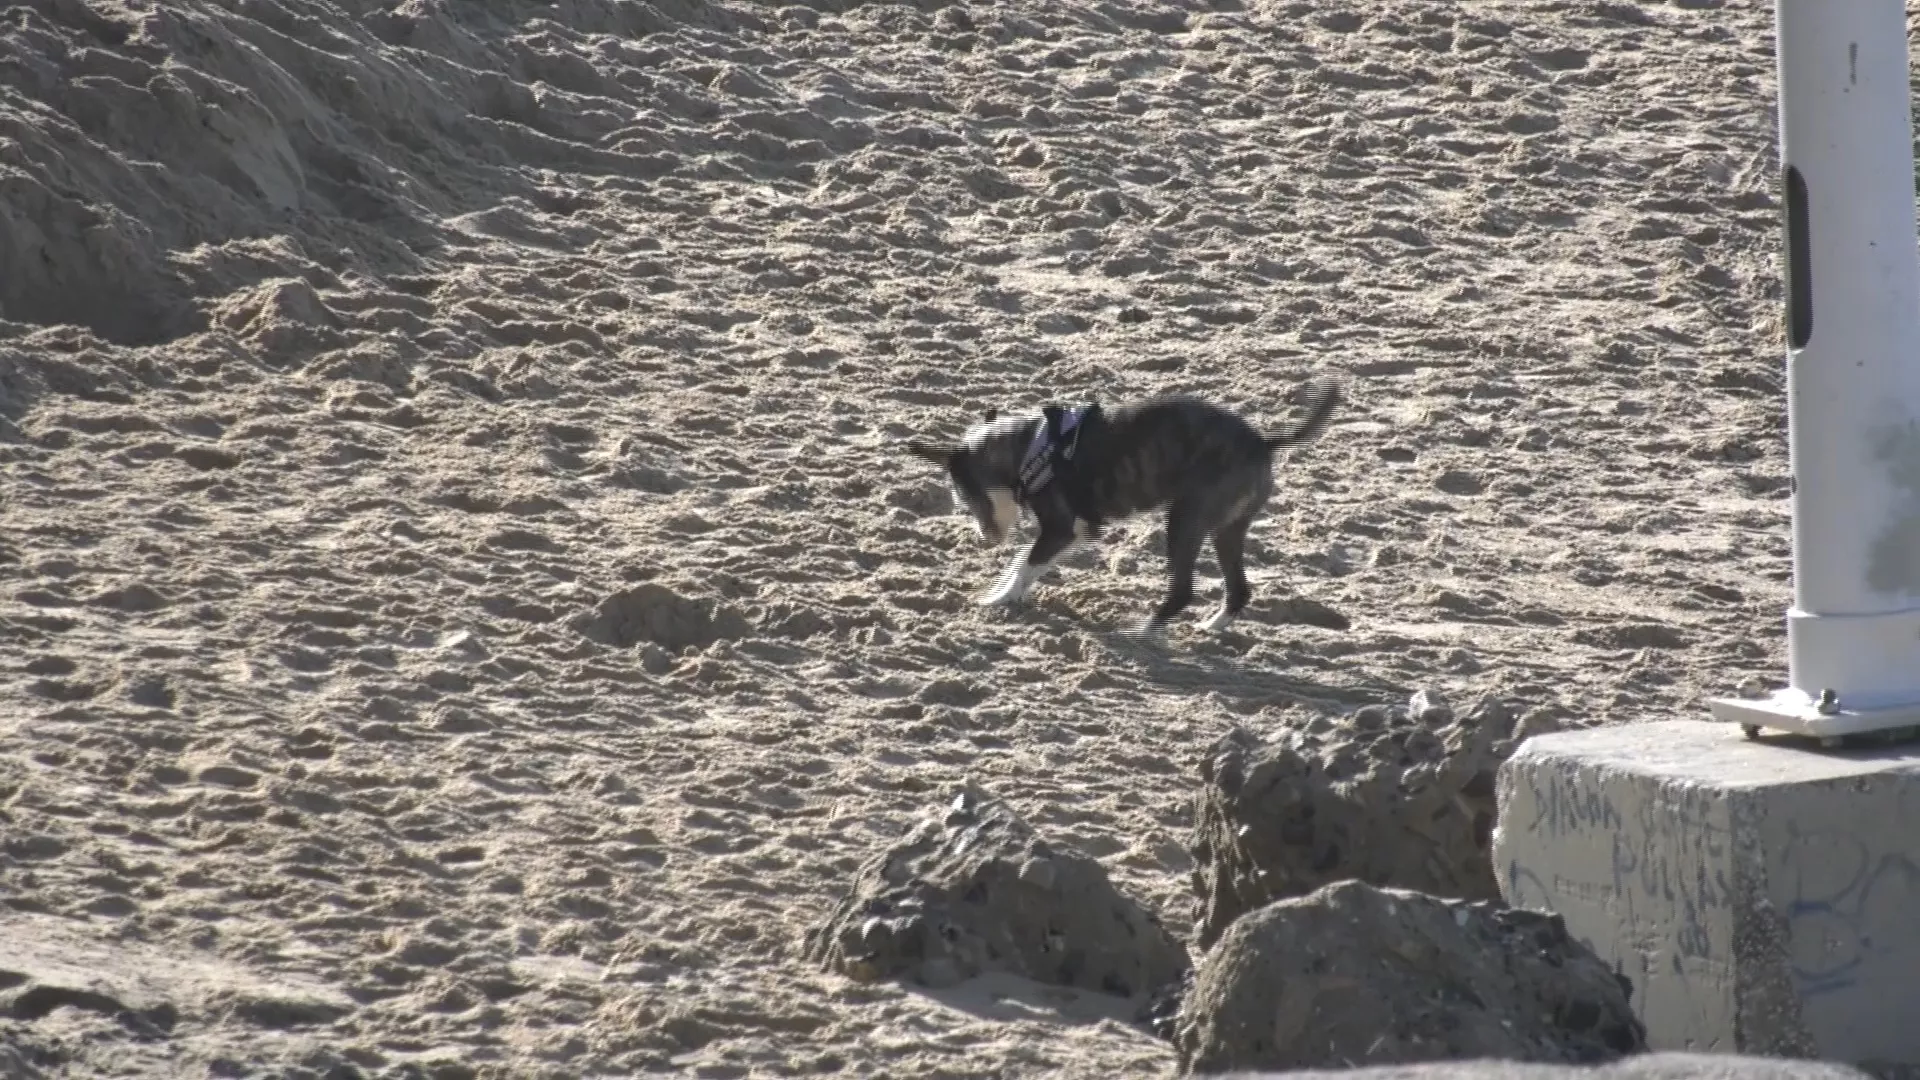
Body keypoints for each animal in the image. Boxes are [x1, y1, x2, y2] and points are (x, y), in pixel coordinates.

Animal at [910, 376, 1336, 630]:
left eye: (968, 499)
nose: (984, 539)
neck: (1024, 450)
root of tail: (1262, 442)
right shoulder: (1077, 531)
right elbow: (1025, 564)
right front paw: (1007, 595)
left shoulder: (1060, 529)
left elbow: (1023, 563)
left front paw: (997, 599)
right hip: (1226, 529)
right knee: (1239, 588)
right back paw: (1210, 627)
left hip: (1185, 521)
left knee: (1183, 590)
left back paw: (1142, 630)